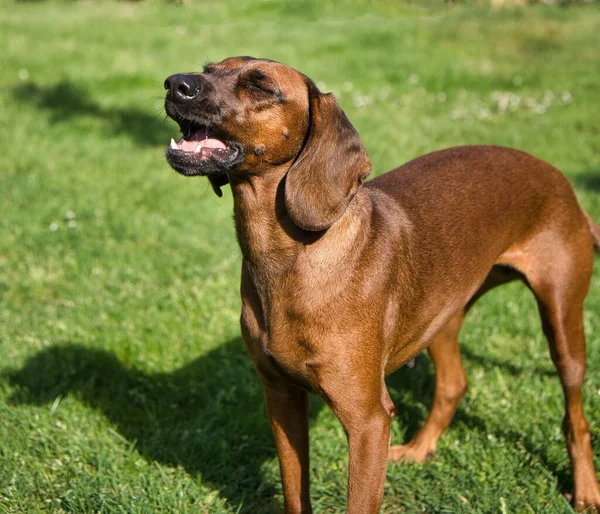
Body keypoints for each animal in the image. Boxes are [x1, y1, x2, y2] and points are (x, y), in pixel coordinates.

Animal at [164, 57, 600, 512]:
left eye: (261, 86)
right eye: (208, 68)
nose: (176, 84)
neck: (287, 260)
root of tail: (560, 179)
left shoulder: (368, 421)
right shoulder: (281, 399)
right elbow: (295, 494)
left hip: (562, 322)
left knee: (575, 417)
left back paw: (586, 490)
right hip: (440, 316)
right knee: (453, 385)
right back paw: (421, 448)